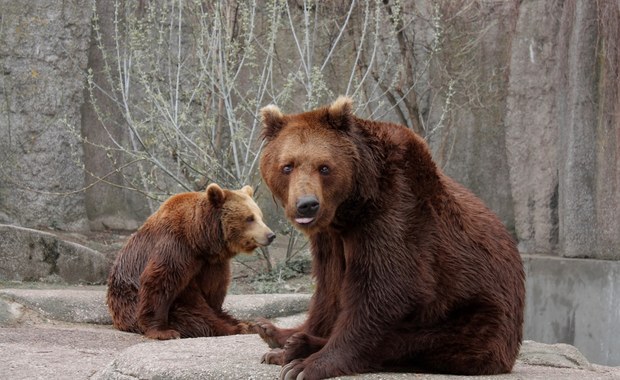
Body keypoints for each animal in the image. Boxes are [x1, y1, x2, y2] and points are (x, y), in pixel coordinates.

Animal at [108, 183, 274, 338]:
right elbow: (159, 282)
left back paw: (246, 324)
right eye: (250, 218)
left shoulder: (212, 263)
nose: (270, 235)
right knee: (193, 318)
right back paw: (238, 327)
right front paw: (163, 331)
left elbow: (213, 289)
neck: (199, 239)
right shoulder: (176, 247)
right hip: (127, 302)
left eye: (260, 216)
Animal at [256, 98, 524, 380]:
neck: (351, 208)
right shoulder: (329, 238)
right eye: (287, 166)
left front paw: (305, 365)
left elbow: (384, 291)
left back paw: (298, 347)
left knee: (410, 342)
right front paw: (284, 340)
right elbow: (329, 288)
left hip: (475, 318)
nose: (307, 205)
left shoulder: (395, 214)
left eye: (324, 167)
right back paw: (275, 334)